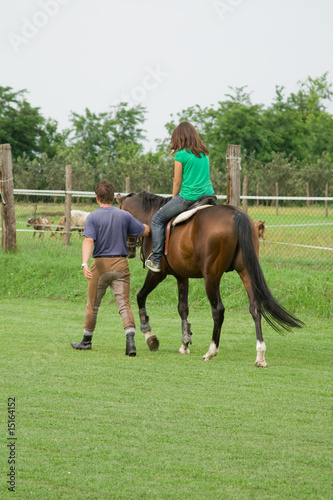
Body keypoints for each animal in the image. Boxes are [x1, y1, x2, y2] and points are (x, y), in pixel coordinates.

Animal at [118, 190, 302, 364]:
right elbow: (183, 308)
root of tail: (237, 215)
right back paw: (260, 355)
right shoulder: (181, 276)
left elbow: (140, 297)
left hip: (211, 277)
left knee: (218, 310)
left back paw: (212, 351)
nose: (128, 249)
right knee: (255, 308)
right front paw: (185, 342)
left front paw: (149, 335)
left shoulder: (158, 274)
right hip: (246, 271)